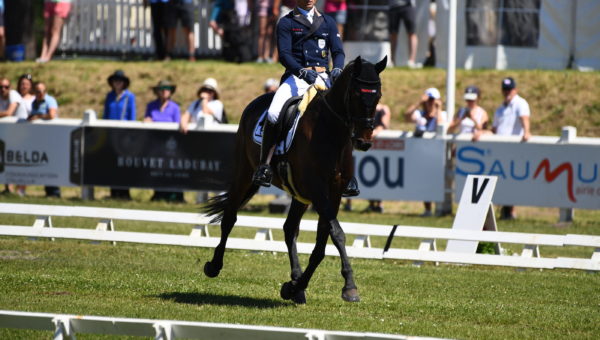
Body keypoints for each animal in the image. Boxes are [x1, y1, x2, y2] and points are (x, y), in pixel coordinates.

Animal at [204, 55, 386, 302]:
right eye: (356, 94)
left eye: (378, 96)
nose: (364, 142)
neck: (331, 133)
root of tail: (257, 101)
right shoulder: (318, 190)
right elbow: (337, 233)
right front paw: (349, 286)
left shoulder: (334, 193)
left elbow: (323, 242)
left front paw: (297, 286)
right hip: (244, 173)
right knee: (230, 217)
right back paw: (214, 266)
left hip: (300, 194)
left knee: (290, 228)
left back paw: (295, 284)